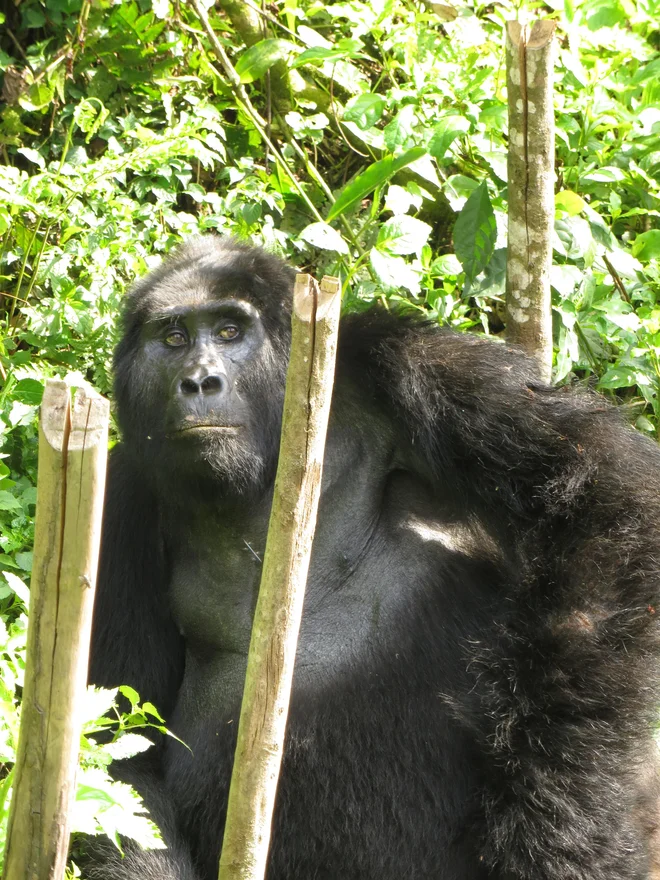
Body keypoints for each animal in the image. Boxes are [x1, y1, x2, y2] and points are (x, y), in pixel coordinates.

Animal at [86, 237, 660, 880]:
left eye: (231, 330)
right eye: (174, 337)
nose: (199, 382)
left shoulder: (401, 361)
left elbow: (598, 496)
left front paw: (562, 824)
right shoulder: (120, 503)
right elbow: (118, 755)